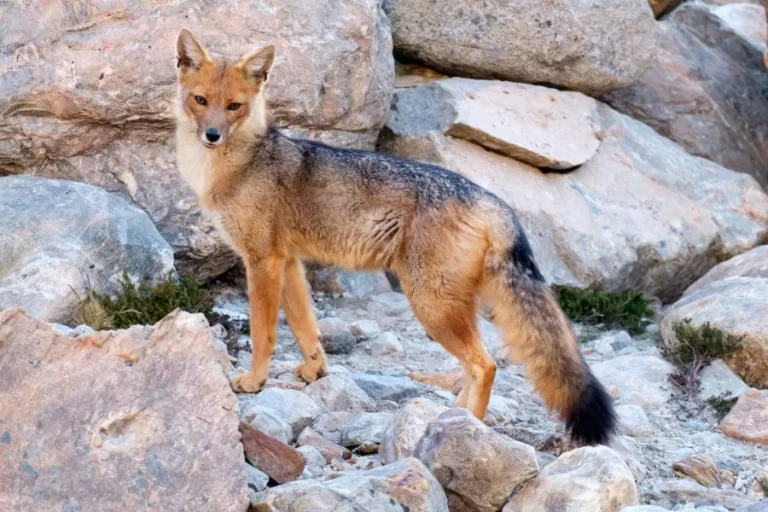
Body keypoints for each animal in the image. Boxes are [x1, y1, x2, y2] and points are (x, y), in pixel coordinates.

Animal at [171, 29, 616, 444]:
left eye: (234, 107)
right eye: (200, 101)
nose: (212, 135)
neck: (237, 165)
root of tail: (491, 199)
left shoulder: (262, 261)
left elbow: (263, 332)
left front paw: (254, 381)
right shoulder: (289, 261)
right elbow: (305, 326)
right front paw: (315, 370)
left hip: (430, 305)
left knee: (485, 364)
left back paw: (468, 425)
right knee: (475, 365)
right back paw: (453, 413)